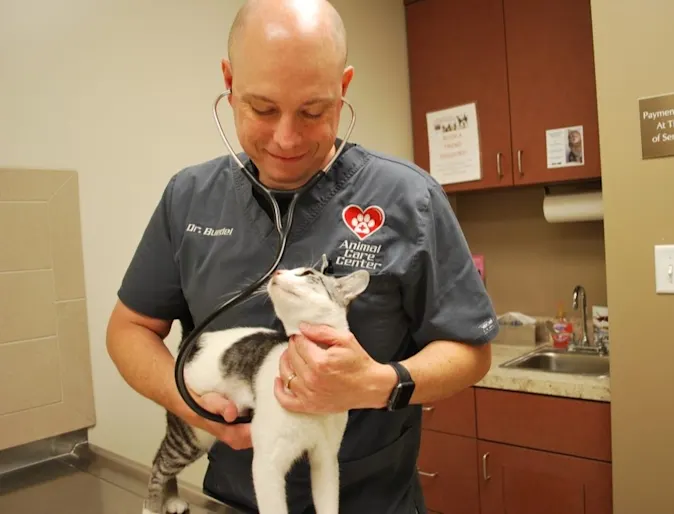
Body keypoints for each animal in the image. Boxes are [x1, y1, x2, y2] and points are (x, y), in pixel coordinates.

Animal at [142, 262, 370, 510]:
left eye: (308, 274)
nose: (277, 272)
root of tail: (193, 343)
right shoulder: (267, 464)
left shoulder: (326, 459)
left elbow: (328, 503)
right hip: (192, 431)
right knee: (160, 462)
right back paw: (152, 507)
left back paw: (171, 499)